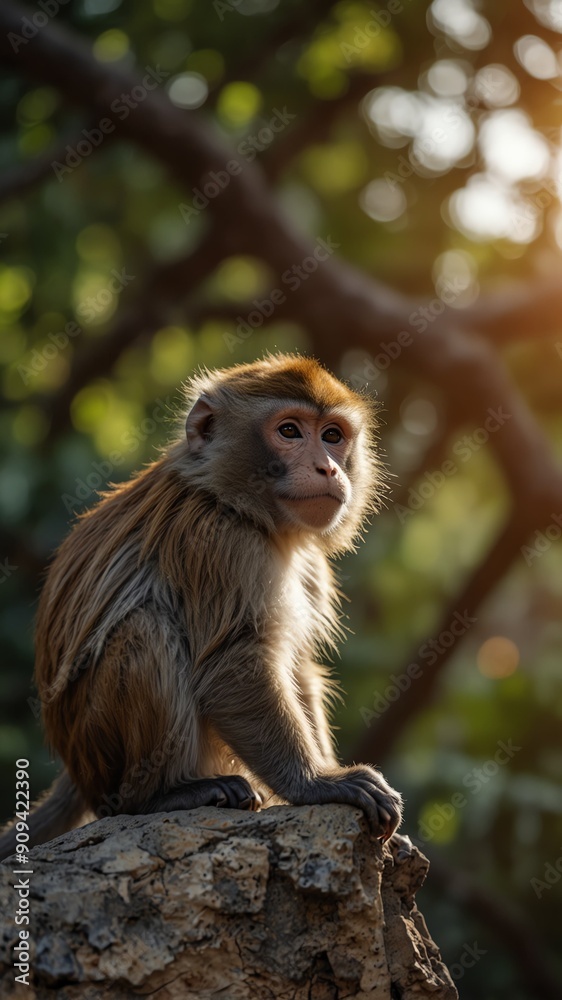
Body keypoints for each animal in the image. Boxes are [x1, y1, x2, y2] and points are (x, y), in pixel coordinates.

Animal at [0, 353, 407, 861]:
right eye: (289, 431)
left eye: (333, 436)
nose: (329, 469)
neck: (237, 505)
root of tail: (79, 772)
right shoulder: (221, 544)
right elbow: (231, 665)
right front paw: (317, 783)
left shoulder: (306, 563)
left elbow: (296, 666)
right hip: (102, 755)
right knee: (146, 630)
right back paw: (159, 796)